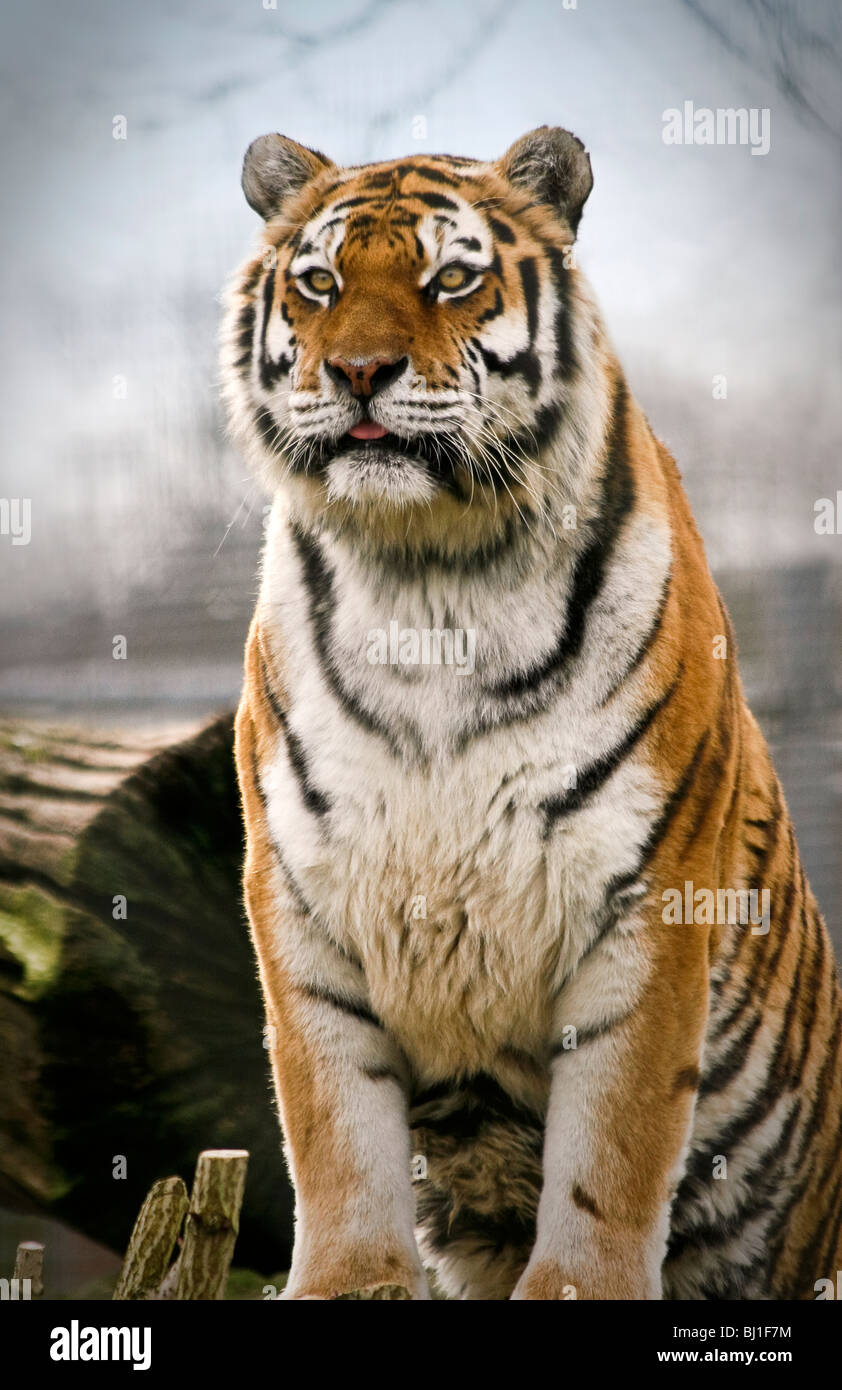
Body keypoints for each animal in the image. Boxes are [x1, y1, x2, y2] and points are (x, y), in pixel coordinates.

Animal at [222, 125, 842, 1295]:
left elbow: (611, 1157)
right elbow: (335, 1140)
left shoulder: (648, 903)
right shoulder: (304, 898)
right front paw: (350, 1277)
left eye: (450, 279)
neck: (427, 580)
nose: (358, 371)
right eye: (320, 283)